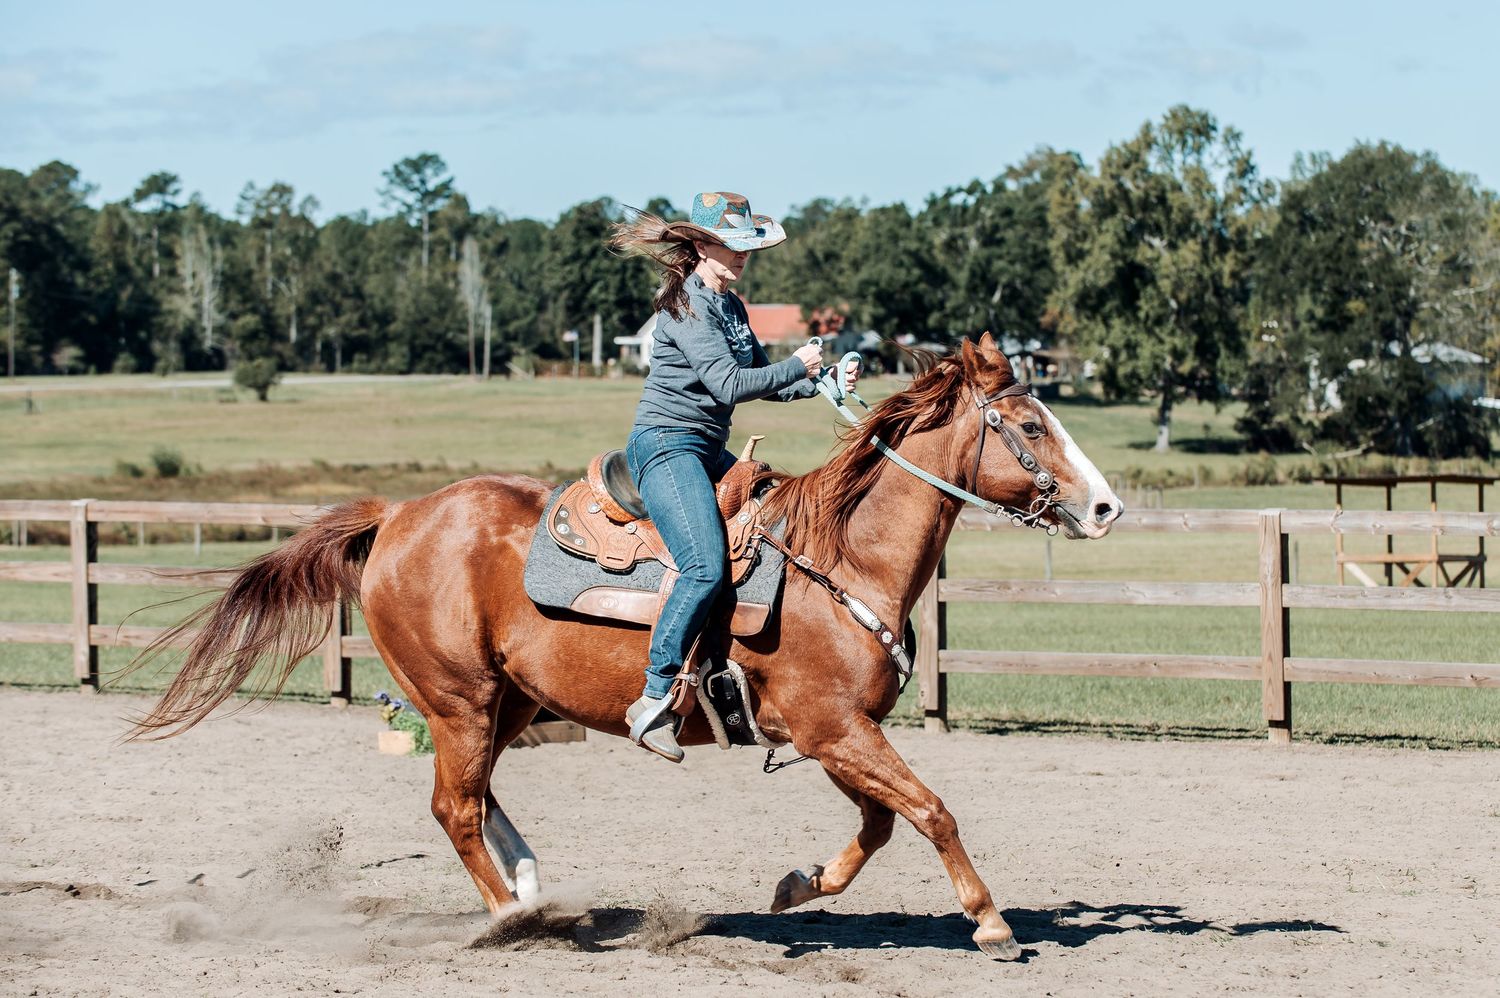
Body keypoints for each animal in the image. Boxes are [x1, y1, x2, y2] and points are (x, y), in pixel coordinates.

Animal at [125, 332, 1122, 959]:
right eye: (1029, 426)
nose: (1107, 506)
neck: (843, 558)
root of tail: (397, 514)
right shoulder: (837, 728)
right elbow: (932, 811)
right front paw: (991, 924)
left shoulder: (834, 733)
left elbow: (880, 825)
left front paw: (798, 884)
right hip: (457, 700)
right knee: (455, 808)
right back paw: (509, 918)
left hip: (508, 701)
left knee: (481, 800)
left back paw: (534, 892)